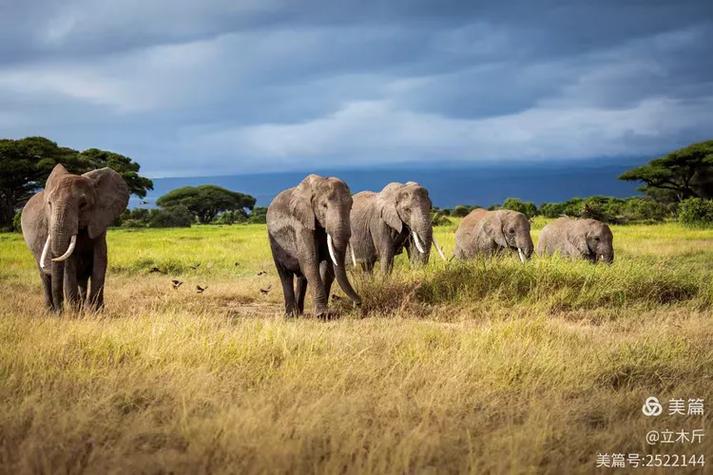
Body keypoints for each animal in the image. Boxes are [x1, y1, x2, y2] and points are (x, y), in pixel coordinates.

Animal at [21, 164, 129, 312]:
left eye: (83, 204)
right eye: (49, 203)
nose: (61, 311)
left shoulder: (99, 222)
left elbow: (100, 263)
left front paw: (97, 312)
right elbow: (68, 266)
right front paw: (76, 314)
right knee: (45, 277)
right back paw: (51, 312)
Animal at [267, 174, 362, 317]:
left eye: (350, 207)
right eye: (324, 205)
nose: (358, 303)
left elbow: (328, 265)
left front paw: (327, 313)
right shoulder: (301, 223)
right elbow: (309, 262)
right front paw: (322, 315)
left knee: (301, 276)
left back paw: (299, 312)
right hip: (274, 242)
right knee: (285, 275)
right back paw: (291, 315)